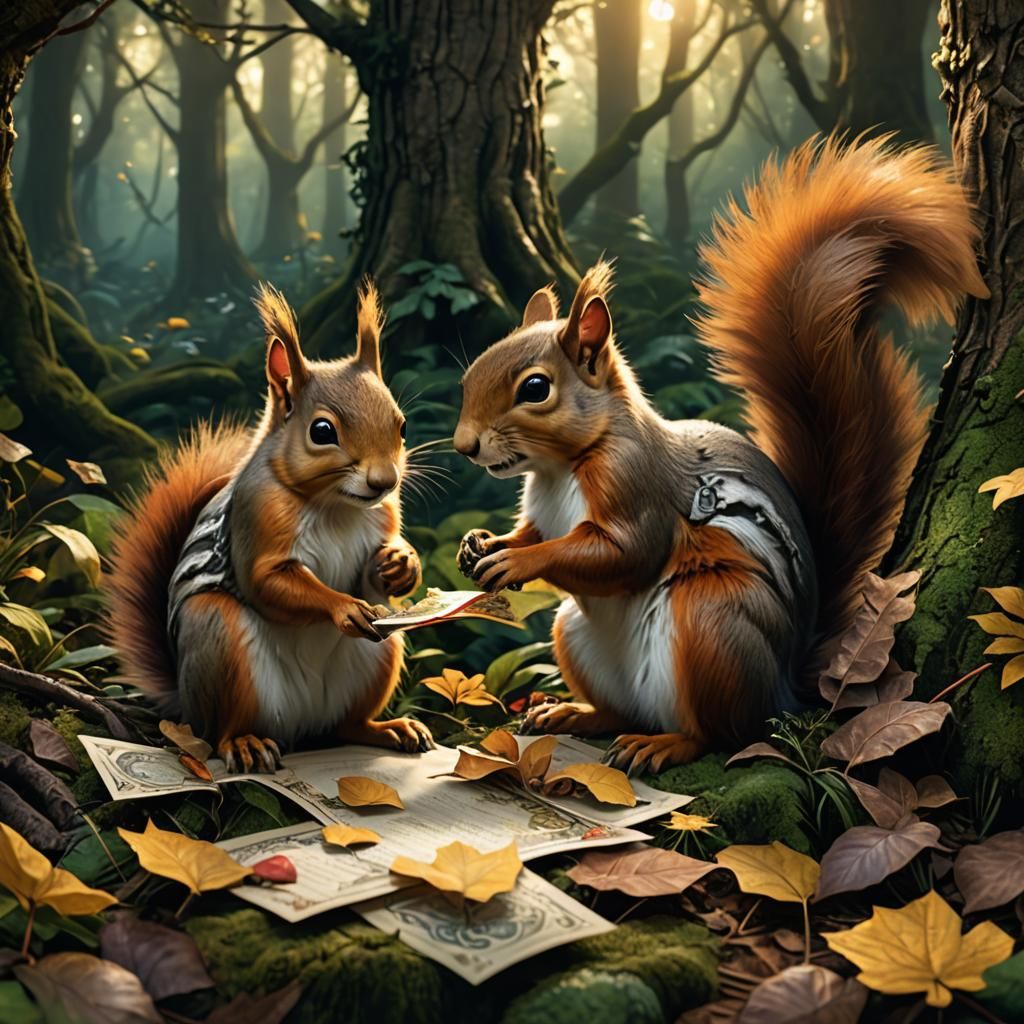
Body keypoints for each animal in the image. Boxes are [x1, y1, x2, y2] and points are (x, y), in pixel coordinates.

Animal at [106, 282, 432, 772]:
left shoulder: (384, 514)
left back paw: (388, 729)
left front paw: (401, 563)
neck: (336, 505)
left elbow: (373, 572)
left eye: (402, 424)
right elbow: (266, 581)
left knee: (346, 726)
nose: (384, 481)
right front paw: (343, 606)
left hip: (380, 653)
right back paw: (245, 743)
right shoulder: (257, 515)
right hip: (219, 644)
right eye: (322, 431)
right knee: (219, 732)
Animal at [454, 136, 989, 774]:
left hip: (713, 625)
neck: (563, 467)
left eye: (535, 388)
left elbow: (624, 553)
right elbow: (533, 532)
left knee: (721, 732)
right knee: (620, 711)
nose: (464, 445)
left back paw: (663, 744)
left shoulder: (636, 486)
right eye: (470, 375)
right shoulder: (541, 507)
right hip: (576, 636)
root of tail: (786, 683)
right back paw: (575, 714)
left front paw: (517, 563)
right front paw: (482, 543)